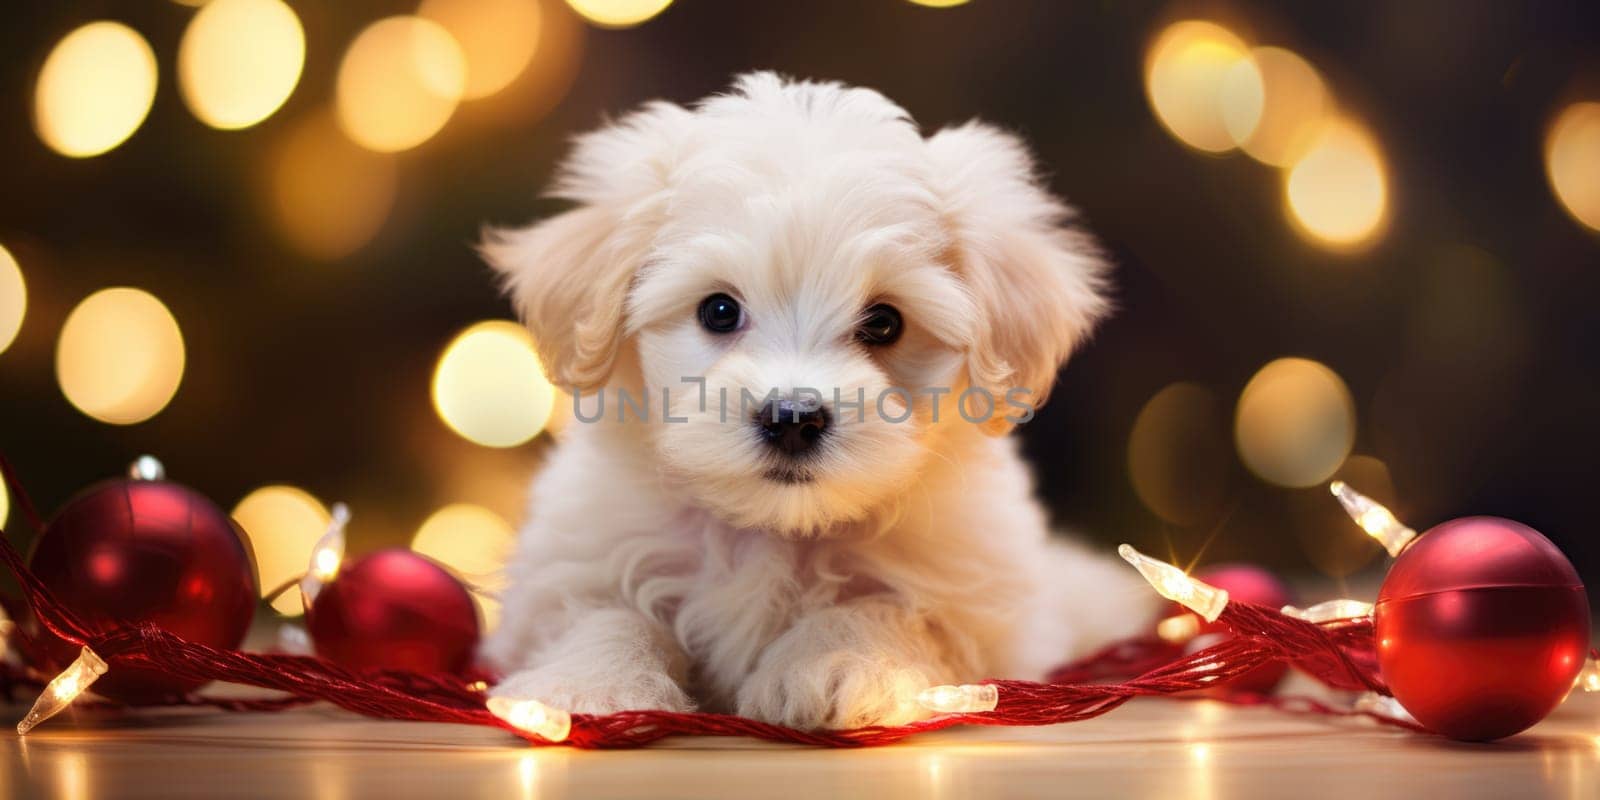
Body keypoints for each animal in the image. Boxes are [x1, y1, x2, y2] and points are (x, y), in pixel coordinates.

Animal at [480, 75, 1158, 732]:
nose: (792, 419)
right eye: (718, 310)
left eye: (884, 323)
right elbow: (601, 613)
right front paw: (586, 687)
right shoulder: (572, 562)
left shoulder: (979, 604)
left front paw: (838, 664)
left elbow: (887, 607)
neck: (772, 528)